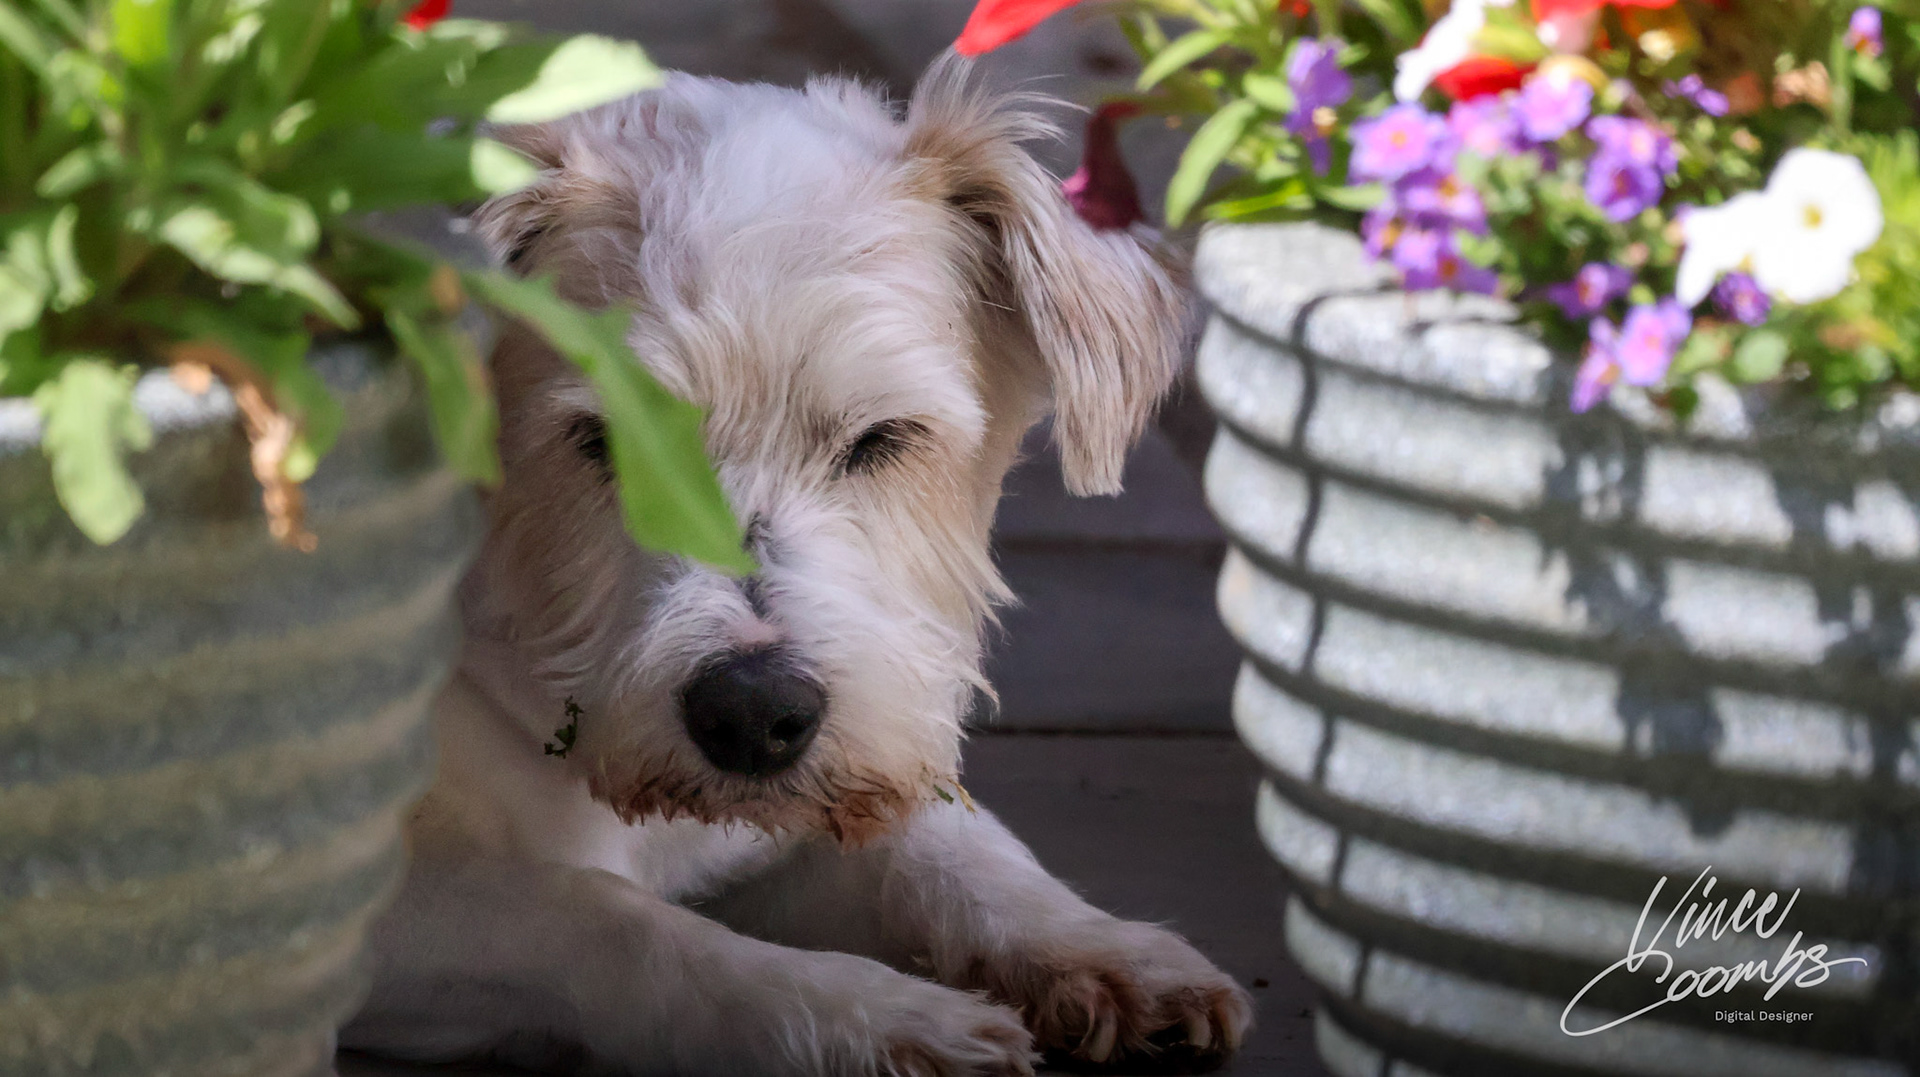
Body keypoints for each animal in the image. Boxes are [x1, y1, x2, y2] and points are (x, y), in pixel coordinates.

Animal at [340, 56, 1253, 1076]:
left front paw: (1098, 944)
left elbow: (947, 844)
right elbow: (612, 918)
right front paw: (869, 1017)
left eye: (881, 439)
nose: (753, 714)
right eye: (604, 441)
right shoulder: (376, 919)